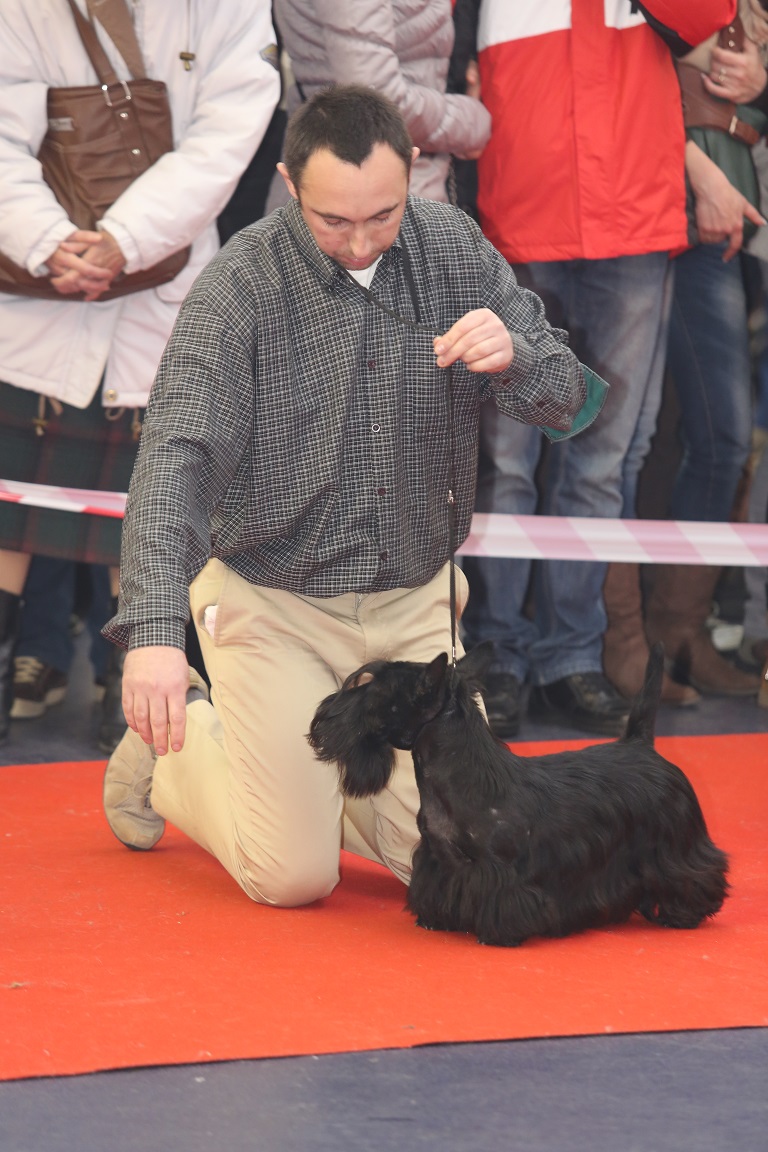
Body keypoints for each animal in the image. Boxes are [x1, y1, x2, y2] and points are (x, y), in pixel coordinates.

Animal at [308, 642, 728, 946]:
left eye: (374, 692)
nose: (323, 713)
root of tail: (641, 744)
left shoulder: (501, 872)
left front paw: (496, 934)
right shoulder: (437, 859)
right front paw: (435, 919)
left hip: (675, 846)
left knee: (694, 875)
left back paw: (681, 913)